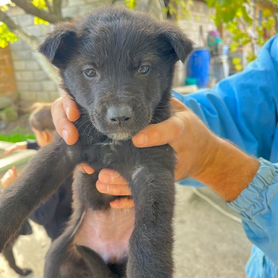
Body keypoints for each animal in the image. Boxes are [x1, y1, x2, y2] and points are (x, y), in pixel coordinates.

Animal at [0, 8, 192, 278]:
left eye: (144, 68)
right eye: (90, 72)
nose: (120, 116)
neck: (109, 141)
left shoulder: (152, 169)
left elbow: (149, 237)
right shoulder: (65, 148)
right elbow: (23, 190)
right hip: (58, 252)